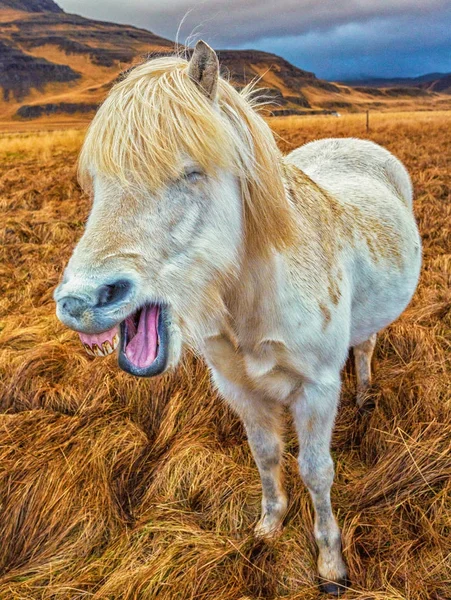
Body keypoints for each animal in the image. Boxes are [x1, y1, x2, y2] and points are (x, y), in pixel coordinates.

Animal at [54, 42, 422, 596]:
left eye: (191, 172)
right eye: (96, 184)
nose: (80, 302)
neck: (252, 303)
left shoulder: (317, 390)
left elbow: (316, 471)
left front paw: (330, 564)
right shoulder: (240, 390)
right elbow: (265, 455)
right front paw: (269, 527)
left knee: (365, 348)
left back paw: (364, 397)